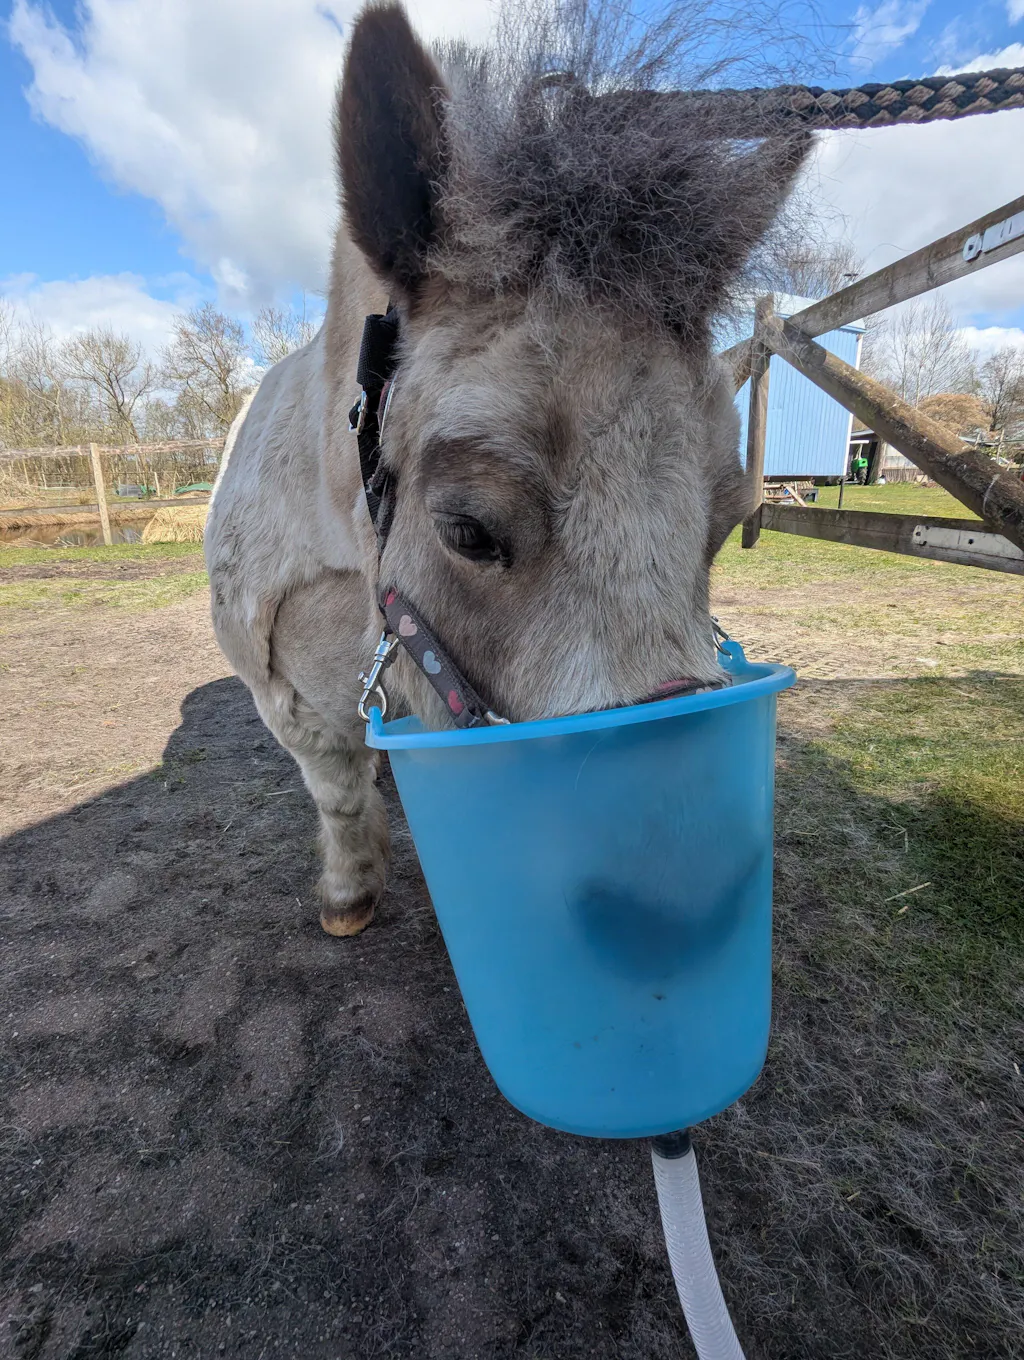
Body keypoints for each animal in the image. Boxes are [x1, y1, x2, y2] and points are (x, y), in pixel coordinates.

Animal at [205, 0, 811, 937]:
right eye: (466, 529)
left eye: (722, 524)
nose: (683, 897)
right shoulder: (284, 700)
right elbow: (336, 790)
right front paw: (348, 894)